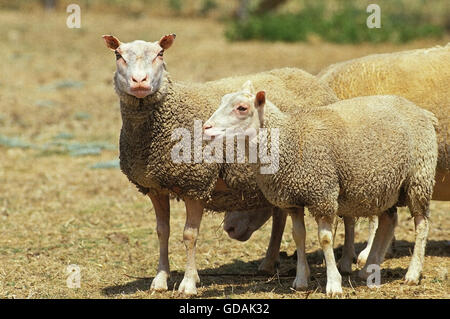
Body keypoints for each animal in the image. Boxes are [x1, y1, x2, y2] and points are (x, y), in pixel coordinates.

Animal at [102, 33, 338, 296]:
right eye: (118, 55)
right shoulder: (155, 187)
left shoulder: (196, 183)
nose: (139, 82)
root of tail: (304, 74)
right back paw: (269, 262)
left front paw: (187, 283)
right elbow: (162, 232)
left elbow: (189, 235)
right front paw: (161, 279)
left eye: (160, 54)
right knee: (280, 215)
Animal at [206, 82, 438, 298]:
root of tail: (421, 111)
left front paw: (334, 284)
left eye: (242, 108)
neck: (290, 139)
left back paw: (412, 274)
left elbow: (325, 239)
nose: (206, 127)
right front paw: (301, 280)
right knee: (388, 222)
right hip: (384, 187)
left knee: (421, 224)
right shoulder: (293, 201)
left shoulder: (323, 194)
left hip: (419, 178)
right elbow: (298, 236)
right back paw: (369, 269)